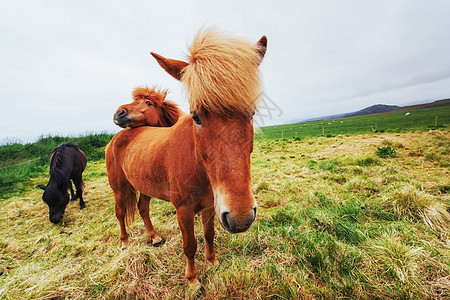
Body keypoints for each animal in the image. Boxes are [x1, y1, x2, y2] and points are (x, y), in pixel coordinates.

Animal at [105, 29, 268, 288]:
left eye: (251, 113)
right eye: (196, 116)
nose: (240, 217)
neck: (197, 164)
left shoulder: (210, 206)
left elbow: (209, 235)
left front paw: (212, 263)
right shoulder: (183, 210)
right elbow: (190, 245)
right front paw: (193, 280)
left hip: (144, 186)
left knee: (142, 208)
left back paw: (153, 237)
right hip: (119, 188)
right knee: (120, 212)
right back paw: (124, 242)